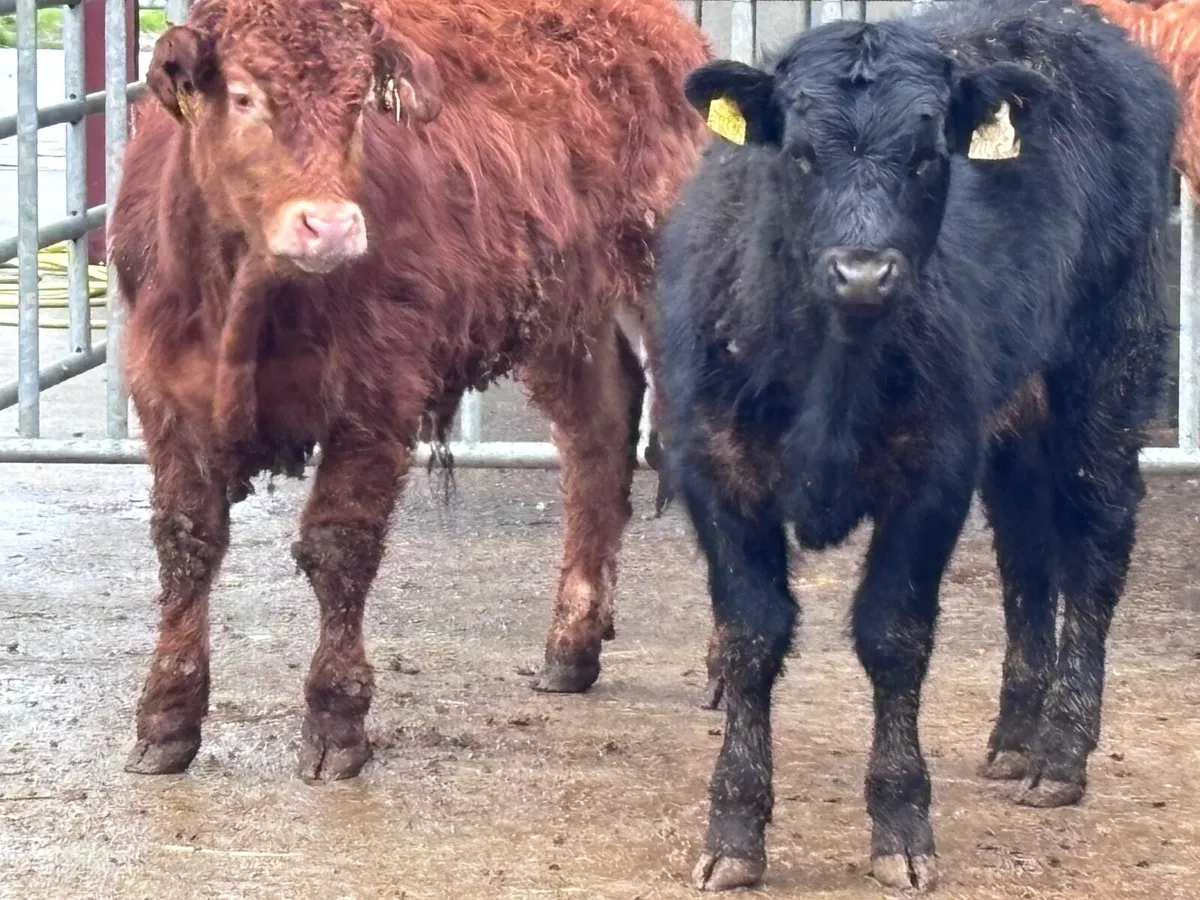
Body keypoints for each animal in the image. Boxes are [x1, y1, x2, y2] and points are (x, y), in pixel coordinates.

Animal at [109, 0, 710, 783]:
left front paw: (335, 719)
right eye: (242, 96)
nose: (331, 226)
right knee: (598, 444)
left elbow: (338, 549)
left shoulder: (376, 393)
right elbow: (187, 544)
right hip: (563, 317)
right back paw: (570, 647)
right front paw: (166, 717)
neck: (243, 300)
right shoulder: (164, 394)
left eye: (357, 105)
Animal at [651, 0, 1177, 891]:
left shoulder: (932, 470)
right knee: (1025, 553)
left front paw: (901, 827)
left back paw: (1060, 755)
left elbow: (893, 636)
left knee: (1095, 545)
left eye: (930, 158)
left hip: (1108, 366)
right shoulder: (712, 464)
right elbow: (753, 635)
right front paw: (734, 832)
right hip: (1012, 418)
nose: (864, 272)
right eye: (798, 152)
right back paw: (1013, 737)